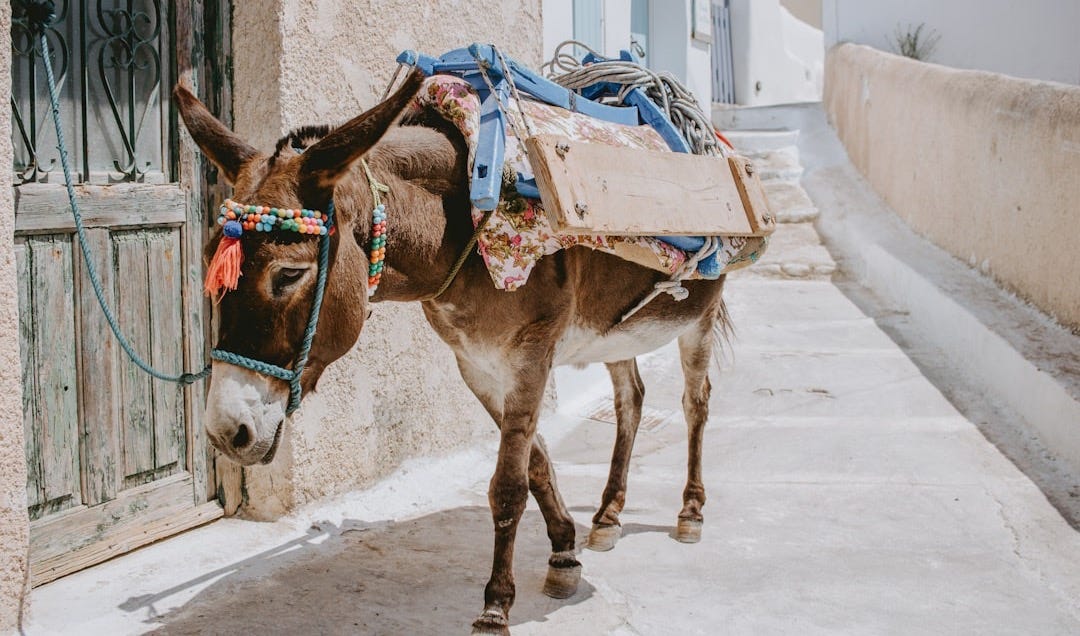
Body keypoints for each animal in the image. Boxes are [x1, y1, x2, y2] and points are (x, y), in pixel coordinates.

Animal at [176, 70, 728, 635]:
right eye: (210, 263)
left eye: (288, 274)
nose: (225, 432)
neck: (464, 224)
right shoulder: (476, 365)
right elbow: (535, 462)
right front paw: (563, 552)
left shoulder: (530, 354)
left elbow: (508, 484)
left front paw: (496, 605)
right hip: (616, 329)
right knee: (631, 400)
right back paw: (609, 516)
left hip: (700, 317)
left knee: (696, 403)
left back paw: (690, 512)